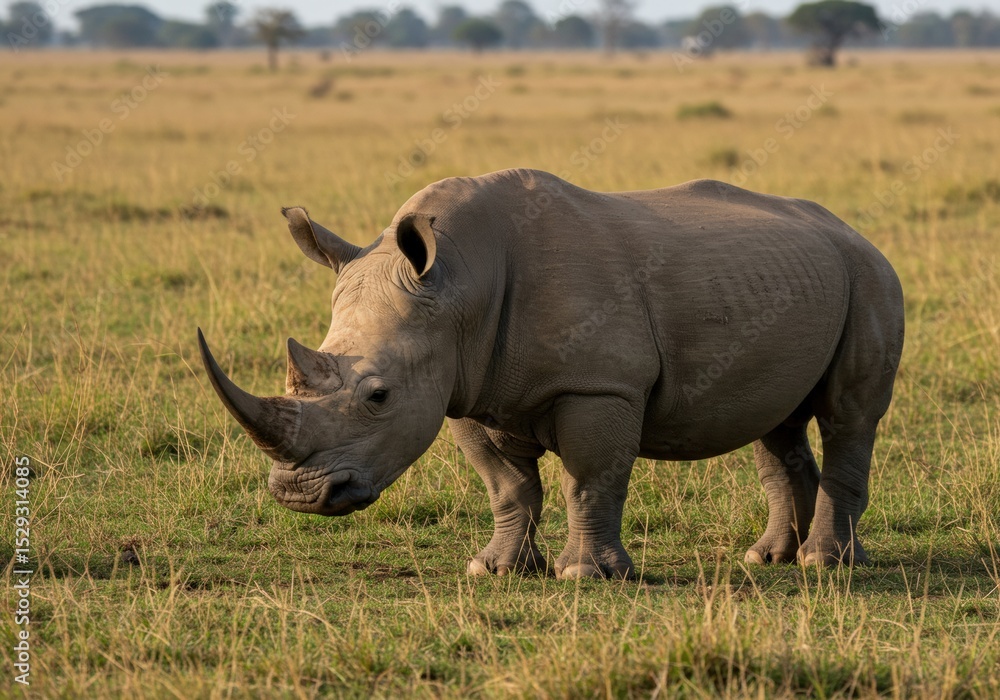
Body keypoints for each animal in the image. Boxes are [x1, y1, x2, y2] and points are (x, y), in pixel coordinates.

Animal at [198, 168, 904, 579]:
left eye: (378, 395)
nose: (299, 495)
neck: (459, 280)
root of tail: (851, 229)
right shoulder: (465, 385)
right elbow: (508, 486)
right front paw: (496, 570)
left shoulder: (600, 384)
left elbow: (591, 479)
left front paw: (586, 576)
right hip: (794, 278)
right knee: (776, 423)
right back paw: (770, 558)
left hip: (870, 276)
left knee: (849, 417)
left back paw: (826, 565)